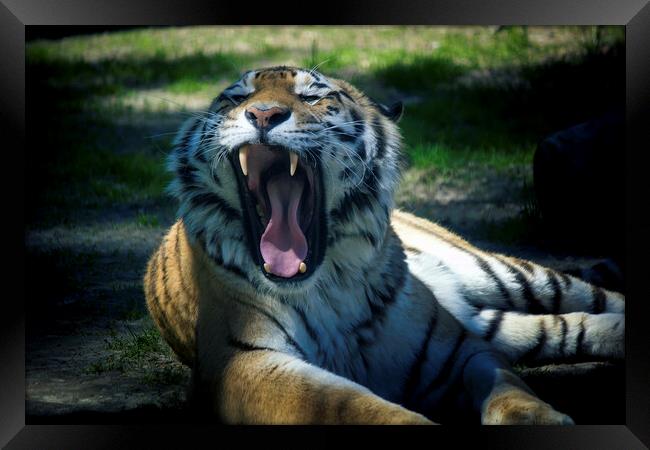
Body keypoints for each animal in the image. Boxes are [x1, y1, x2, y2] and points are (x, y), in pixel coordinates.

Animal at [143, 65, 624, 424]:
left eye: (312, 97)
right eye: (235, 99)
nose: (262, 114)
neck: (328, 283)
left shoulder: (458, 350)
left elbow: (511, 388)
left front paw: (539, 417)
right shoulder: (248, 363)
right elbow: (354, 405)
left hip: (503, 276)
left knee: (588, 300)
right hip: (488, 317)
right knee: (560, 327)